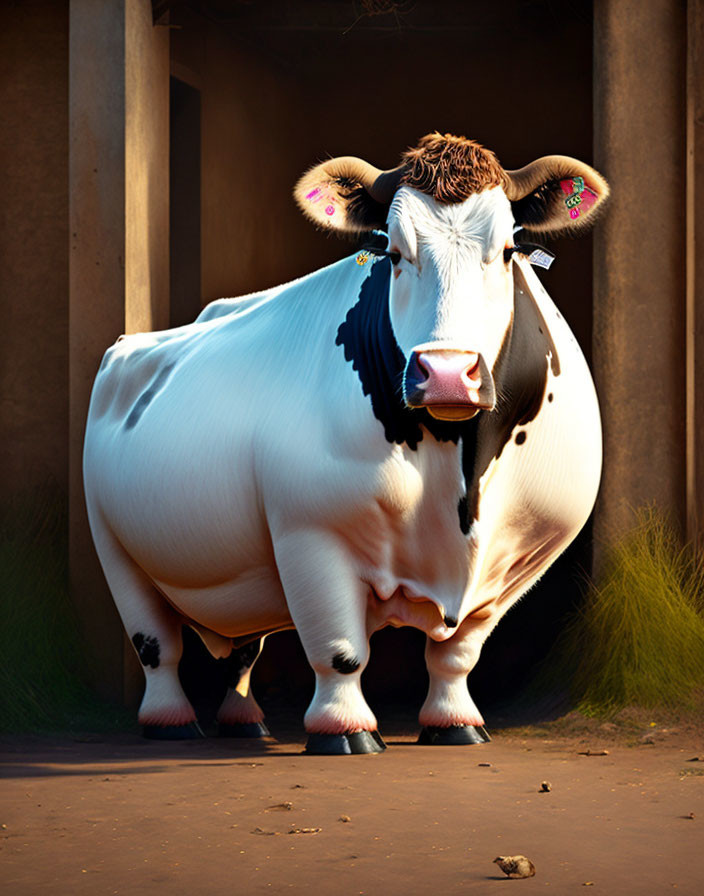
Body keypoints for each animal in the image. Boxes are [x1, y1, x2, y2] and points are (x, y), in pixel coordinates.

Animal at [85, 131, 608, 748]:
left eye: (508, 251)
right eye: (394, 254)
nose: (447, 372)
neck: (459, 473)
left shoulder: (519, 555)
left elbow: (456, 655)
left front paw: (455, 722)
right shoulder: (311, 531)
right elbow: (339, 650)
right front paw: (344, 730)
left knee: (242, 652)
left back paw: (246, 721)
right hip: (112, 545)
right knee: (156, 646)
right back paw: (171, 722)